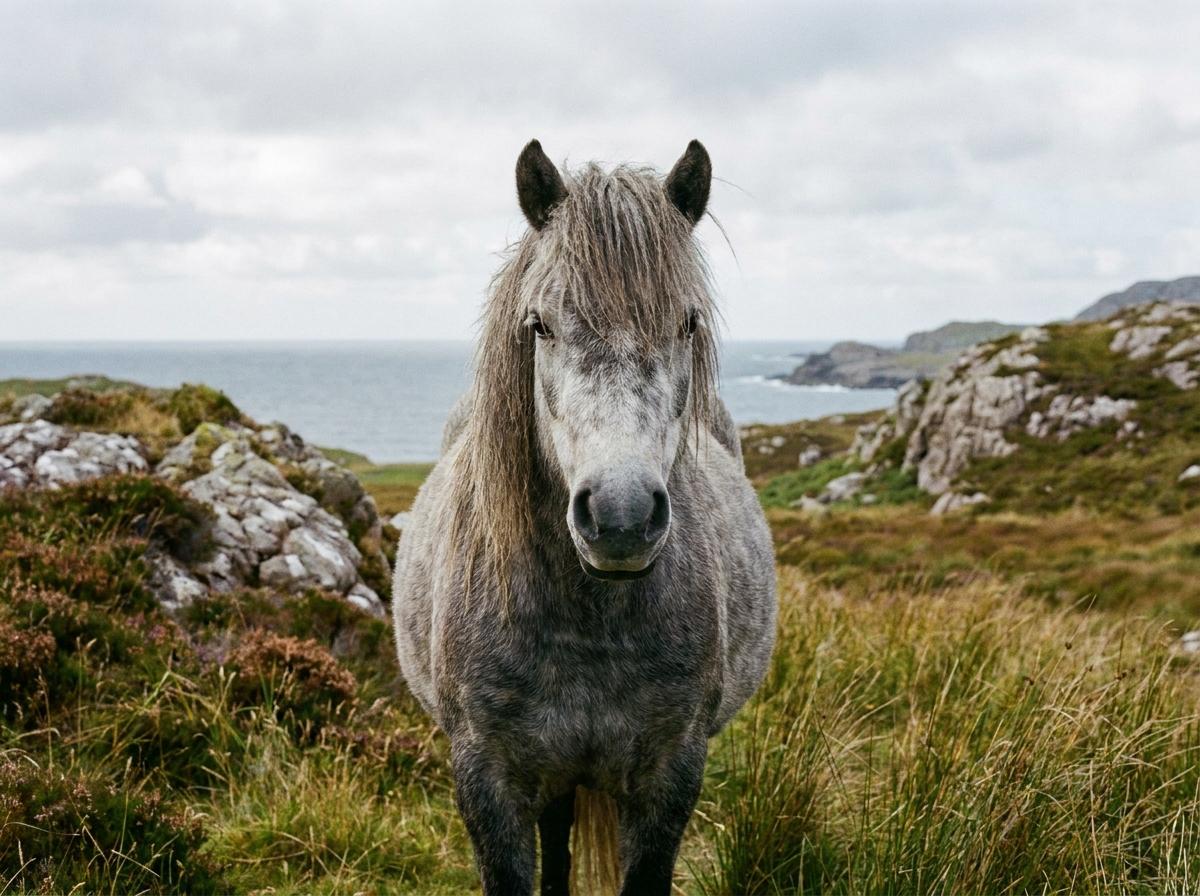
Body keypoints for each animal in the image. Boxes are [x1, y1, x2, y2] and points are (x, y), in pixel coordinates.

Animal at [392, 139, 777, 895]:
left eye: (687, 321)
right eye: (539, 324)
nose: (621, 516)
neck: (586, 624)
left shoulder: (669, 776)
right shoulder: (488, 780)